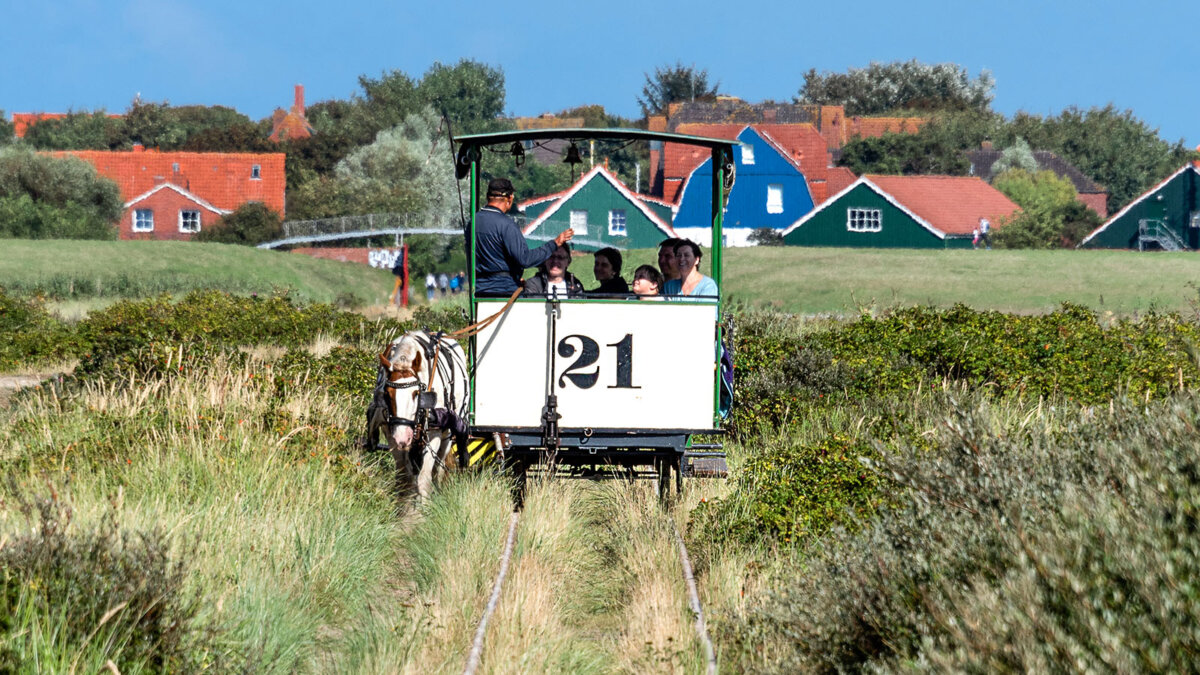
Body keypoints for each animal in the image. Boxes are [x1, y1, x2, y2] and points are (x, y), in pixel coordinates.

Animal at [374, 329, 468, 502]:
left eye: (416, 393)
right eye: (387, 394)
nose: (402, 437)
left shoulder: (433, 433)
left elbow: (424, 478)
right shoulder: (391, 434)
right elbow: (404, 477)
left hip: (447, 433)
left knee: (438, 469)